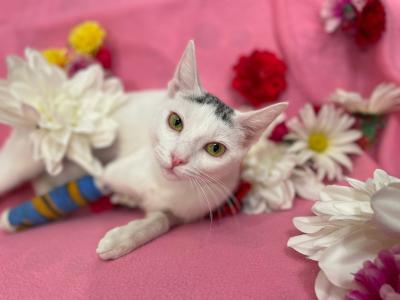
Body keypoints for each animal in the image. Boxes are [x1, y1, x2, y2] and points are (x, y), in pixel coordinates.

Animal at [0, 41, 288, 258]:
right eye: (175, 122)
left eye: (215, 149)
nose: (176, 159)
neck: (163, 185)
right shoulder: (110, 172)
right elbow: (104, 181)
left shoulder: (181, 212)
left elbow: (159, 221)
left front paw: (122, 239)